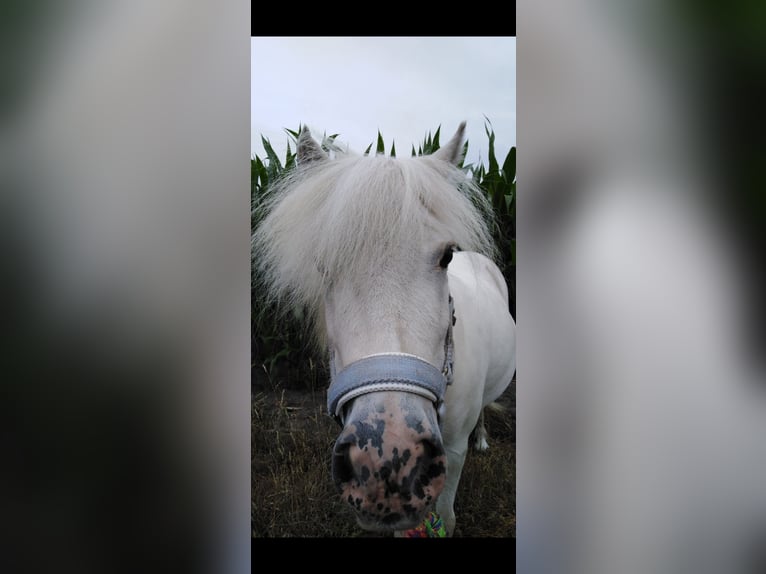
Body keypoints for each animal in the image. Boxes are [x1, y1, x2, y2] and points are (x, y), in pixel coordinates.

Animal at [252, 122, 516, 536]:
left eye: (447, 255)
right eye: (323, 265)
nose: (390, 458)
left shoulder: (453, 453)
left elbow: (446, 516)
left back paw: (484, 440)